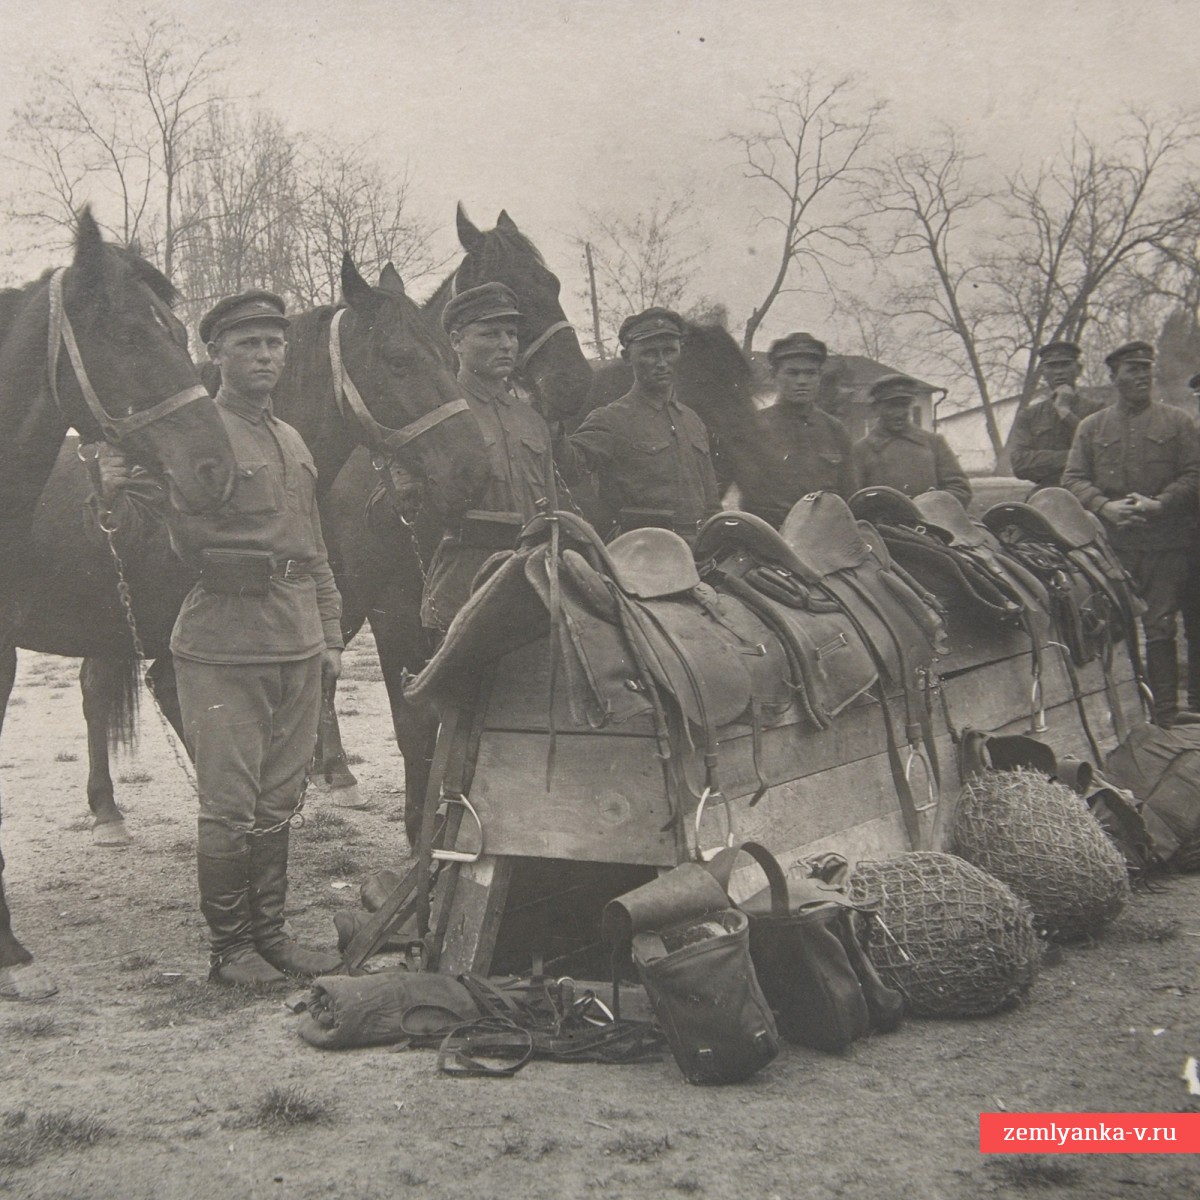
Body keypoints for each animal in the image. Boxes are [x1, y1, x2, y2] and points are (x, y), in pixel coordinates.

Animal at [311, 205, 593, 836]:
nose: (573, 386)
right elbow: (414, 726)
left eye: (555, 284)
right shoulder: (394, 612)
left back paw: (331, 769)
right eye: (509, 297)